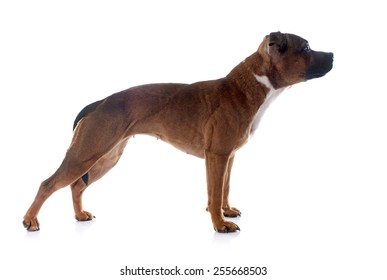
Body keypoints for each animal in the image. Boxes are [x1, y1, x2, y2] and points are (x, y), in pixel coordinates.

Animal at [22, 31, 334, 232]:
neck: (252, 84)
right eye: (306, 48)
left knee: (76, 185)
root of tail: (100, 102)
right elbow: (213, 193)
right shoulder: (217, 156)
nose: (332, 54)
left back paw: (80, 215)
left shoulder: (228, 157)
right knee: (48, 184)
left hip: (105, 157)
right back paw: (30, 221)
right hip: (86, 153)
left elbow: (224, 189)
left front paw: (227, 211)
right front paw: (220, 224)